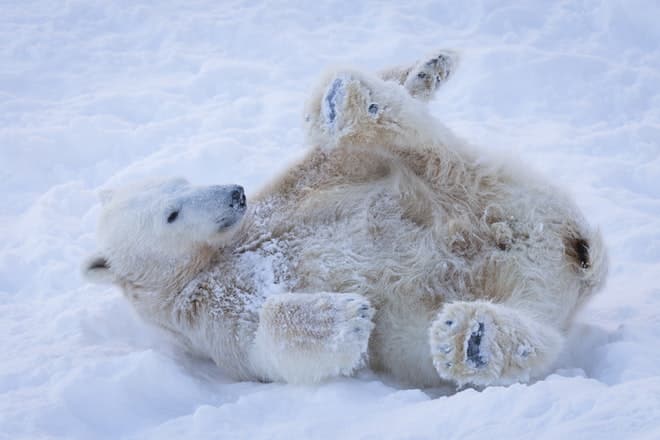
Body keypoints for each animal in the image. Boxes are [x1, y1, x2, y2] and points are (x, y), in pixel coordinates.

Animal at [83, 50, 608, 388]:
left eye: (182, 180)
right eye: (171, 213)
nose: (235, 193)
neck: (216, 256)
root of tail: (574, 255)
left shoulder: (289, 193)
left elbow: (336, 159)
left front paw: (427, 69)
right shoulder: (205, 316)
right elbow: (263, 343)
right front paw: (343, 317)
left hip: (500, 193)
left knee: (423, 151)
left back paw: (350, 101)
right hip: (517, 238)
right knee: (532, 329)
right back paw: (473, 339)